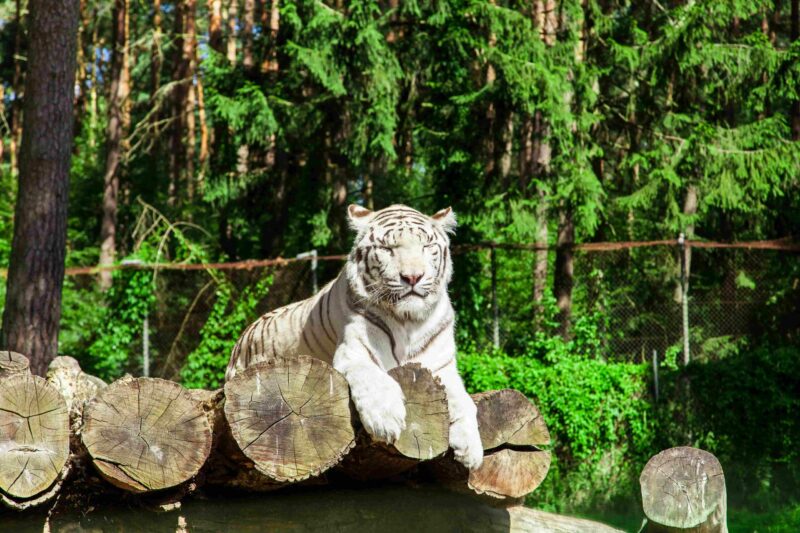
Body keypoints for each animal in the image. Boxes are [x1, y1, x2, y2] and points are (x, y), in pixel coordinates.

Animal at [228, 204, 484, 470]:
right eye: (388, 249)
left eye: (426, 246)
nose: (413, 277)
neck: (409, 321)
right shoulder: (355, 353)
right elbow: (375, 382)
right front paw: (386, 420)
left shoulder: (443, 369)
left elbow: (465, 402)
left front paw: (472, 450)